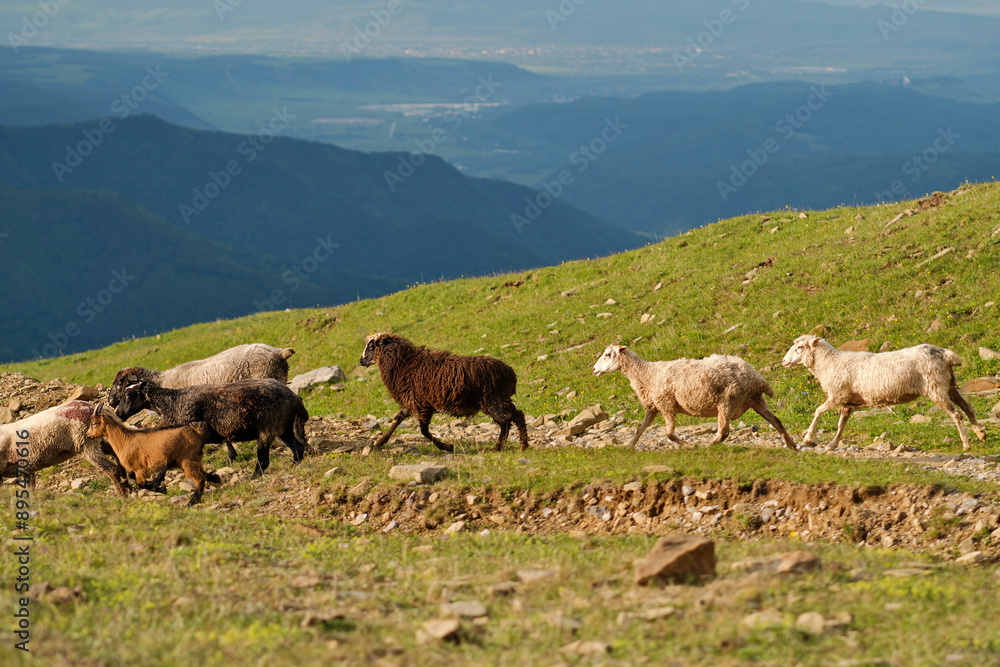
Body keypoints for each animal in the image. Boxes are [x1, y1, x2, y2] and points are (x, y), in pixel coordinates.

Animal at [86, 404, 219, 506]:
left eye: (94, 423)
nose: (88, 435)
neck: (124, 440)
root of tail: (196, 432)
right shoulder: (132, 469)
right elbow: (134, 479)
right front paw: (159, 486)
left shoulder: (140, 468)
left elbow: (140, 483)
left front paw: (160, 488)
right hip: (193, 459)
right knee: (203, 474)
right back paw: (216, 478)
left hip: (187, 460)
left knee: (199, 478)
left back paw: (192, 502)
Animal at [114, 378, 308, 477]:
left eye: (129, 395)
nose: (119, 413)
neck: (173, 402)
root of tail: (294, 398)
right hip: (284, 425)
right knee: (298, 447)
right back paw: (294, 464)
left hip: (268, 427)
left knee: (263, 459)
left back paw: (253, 476)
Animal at [359, 332, 529, 452]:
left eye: (371, 347)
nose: (361, 361)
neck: (403, 364)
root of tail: (510, 373)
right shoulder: (411, 403)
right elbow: (396, 420)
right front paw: (379, 442)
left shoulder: (422, 406)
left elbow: (424, 431)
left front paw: (447, 447)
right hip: (497, 399)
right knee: (515, 417)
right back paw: (519, 445)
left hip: (493, 399)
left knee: (507, 421)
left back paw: (504, 447)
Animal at [592, 345, 797, 449]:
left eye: (607, 354)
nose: (594, 369)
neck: (647, 373)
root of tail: (756, 377)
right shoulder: (654, 407)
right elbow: (640, 429)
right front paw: (628, 447)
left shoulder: (667, 405)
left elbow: (669, 434)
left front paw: (689, 446)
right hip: (755, 400)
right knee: (777, 421)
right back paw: (791, 444)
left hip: (728, 401)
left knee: (723, 431)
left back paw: (709, 446)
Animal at [782, 334, 987, 450]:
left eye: (799, 348)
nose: (783, 361)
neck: (828, 364)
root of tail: (944, 354)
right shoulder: (847, 402)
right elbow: (841, 425)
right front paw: (832, 444)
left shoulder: (837, 395)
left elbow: (817, 411)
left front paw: (808, 438)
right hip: (949, 385)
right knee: (968, 407)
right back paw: (980, 433)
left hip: (936, 387)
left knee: (957, 414)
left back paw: (966, 443)